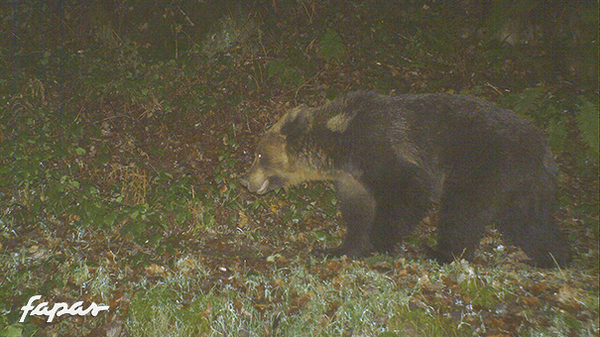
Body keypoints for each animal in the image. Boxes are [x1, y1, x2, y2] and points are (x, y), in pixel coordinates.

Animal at [240, 90, 572, 266]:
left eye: (259, 155)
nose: (246, 181)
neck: (338, 146)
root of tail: (545, 148)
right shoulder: (351, 178)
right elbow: (359, 213)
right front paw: (337, 248)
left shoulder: (379, 149)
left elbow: (409, 190)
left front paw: (380, 242)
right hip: (521, 182)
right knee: (529, 222)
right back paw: (550, 257)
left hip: (482, 165)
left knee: (462, 210)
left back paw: (440, 252)